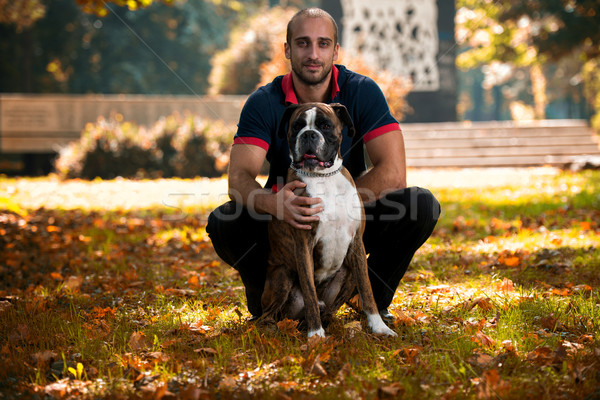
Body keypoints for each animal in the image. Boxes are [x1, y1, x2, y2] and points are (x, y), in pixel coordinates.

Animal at [258, 102, 396, 338]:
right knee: (268, 314)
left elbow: (367, 290)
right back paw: (277, 328)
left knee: (329, 307)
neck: (323, 177)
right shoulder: (304, 243)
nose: (309, 134)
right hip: (282, 275)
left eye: (325, 126)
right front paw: (316, 336)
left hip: (347, 273)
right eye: (297, 126)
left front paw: (379, 327)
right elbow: (310, 292)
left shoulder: (357, 243)